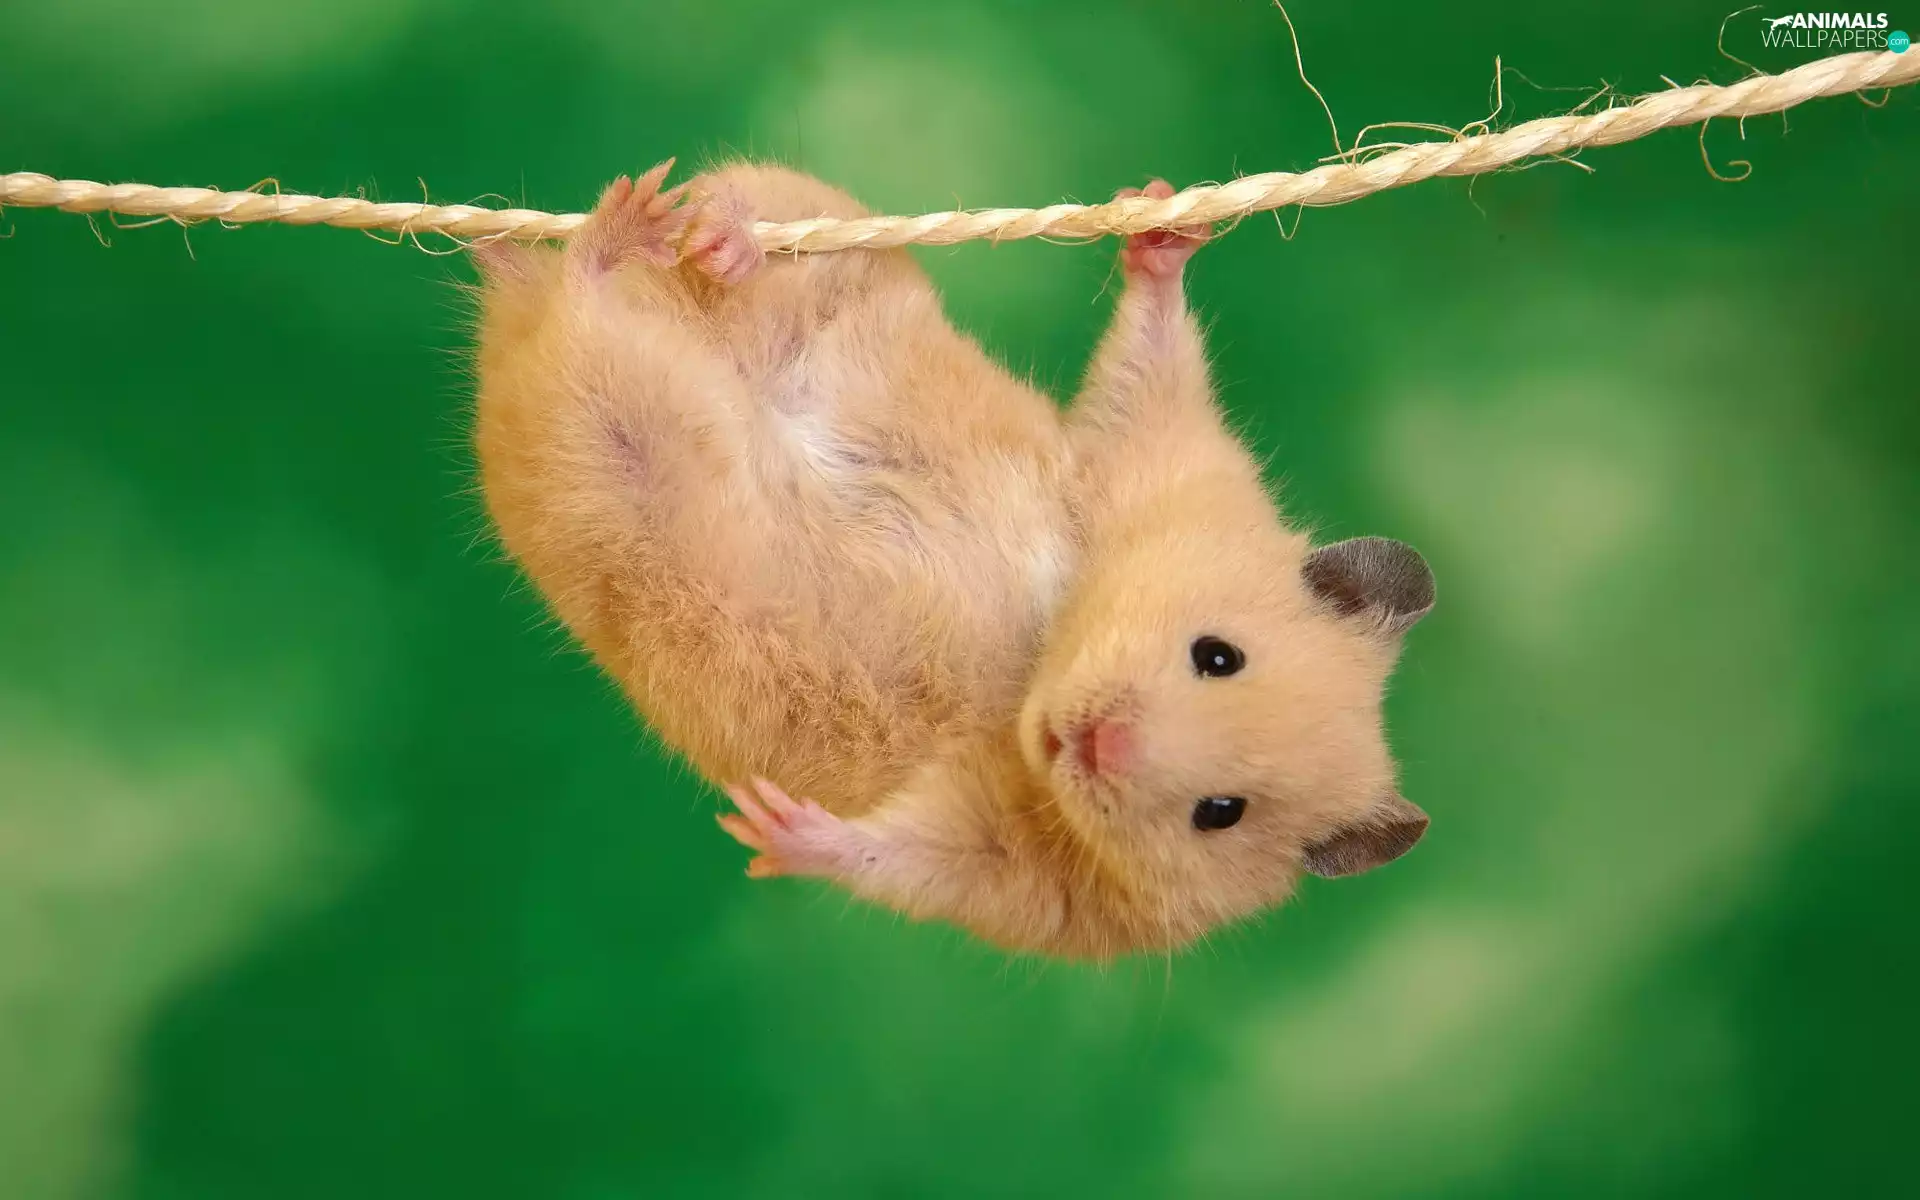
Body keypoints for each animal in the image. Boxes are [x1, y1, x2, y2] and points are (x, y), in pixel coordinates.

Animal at [469, 160, 1435, 961]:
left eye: (1220, 814)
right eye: (1218, 655)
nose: (1095, 742)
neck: (1039, 665)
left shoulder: (1018, 875)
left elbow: (901, 857)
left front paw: (770, 827)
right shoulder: (1148, 459)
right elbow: (1147, 365)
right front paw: (1162, 219)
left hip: (602, 446)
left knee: (581, 323)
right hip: (830, 248)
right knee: (740, 223)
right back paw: (687, 231)